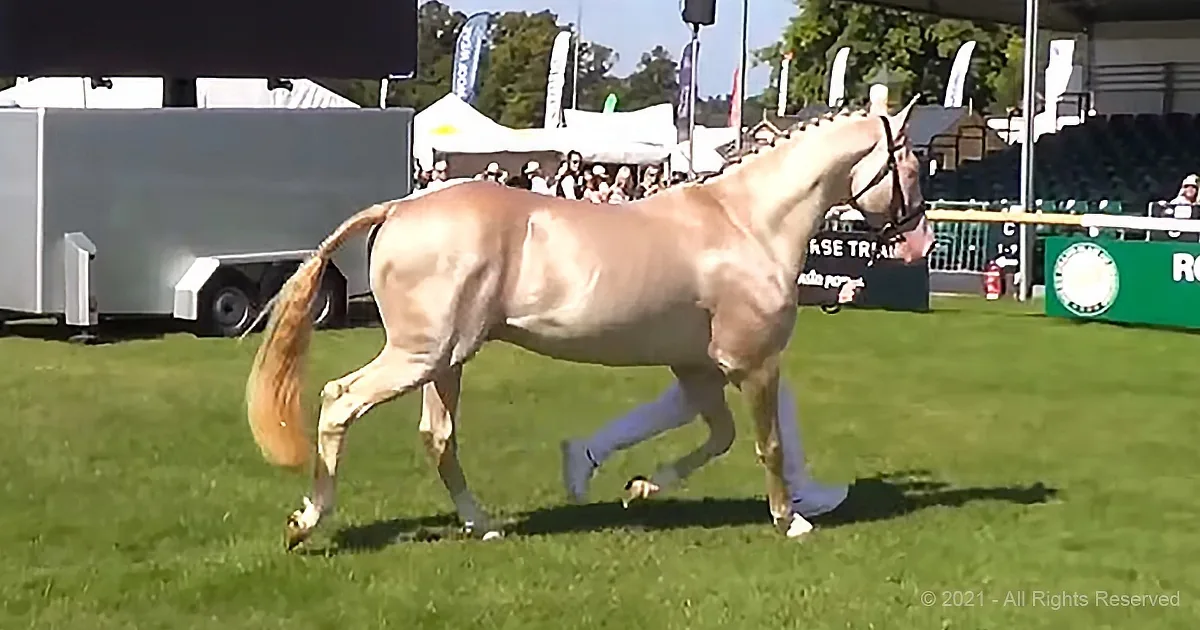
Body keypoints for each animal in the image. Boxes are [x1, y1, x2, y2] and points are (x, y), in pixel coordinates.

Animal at [245, 85, 933, 550]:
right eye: (911, 162)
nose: (917, 238)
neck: (747, 223)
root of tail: (398, 207)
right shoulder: (754, 362)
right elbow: (766, 442)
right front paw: (790, 519)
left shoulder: (698, 367)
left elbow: (719, 437)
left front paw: (640, 487)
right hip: (418, 355)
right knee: (339, 401)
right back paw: (306, 522)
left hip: (447, 360)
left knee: (438, 436)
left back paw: (483, 524)